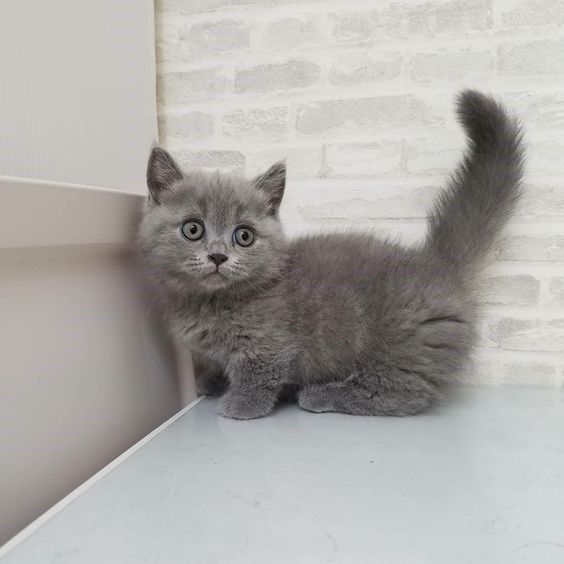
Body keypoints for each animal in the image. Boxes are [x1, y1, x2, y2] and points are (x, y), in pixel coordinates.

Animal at [138, 90, 524, 418]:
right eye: (193, 229)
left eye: (243, 236)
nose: (218, 256)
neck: (209, 303)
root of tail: (435, 265)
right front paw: (214, 381)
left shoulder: (268, 343)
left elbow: (258, 373)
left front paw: (241, 404)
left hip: (404, 347)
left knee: (403, 393)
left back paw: (321, 395)